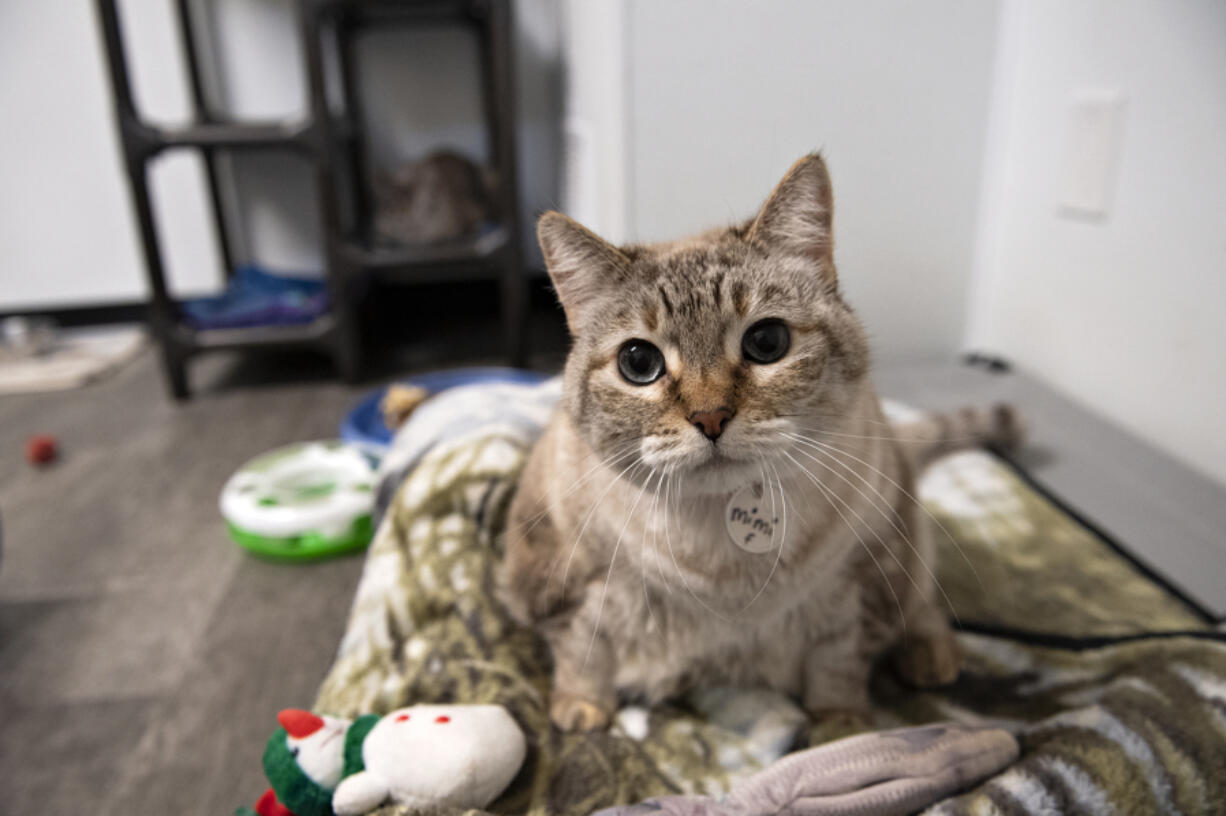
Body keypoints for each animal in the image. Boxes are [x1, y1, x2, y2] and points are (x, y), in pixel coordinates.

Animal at [500, 154, 1024, 730]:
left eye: (767, 342)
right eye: (638, 363)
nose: (710, 417)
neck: (726, 574)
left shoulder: (862, 586)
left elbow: (839, 668)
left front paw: (842, 727)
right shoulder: (558, 579)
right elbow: (582, 651)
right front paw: (583, 711)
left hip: (906, 529)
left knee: (923, 601)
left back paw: (932, 658)